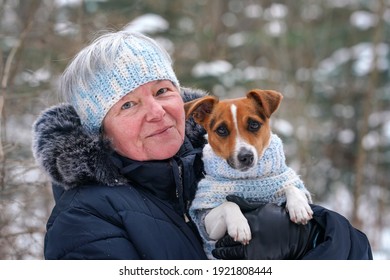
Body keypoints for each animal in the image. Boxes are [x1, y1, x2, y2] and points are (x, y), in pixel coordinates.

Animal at [187, 89, 314, 256]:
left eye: (254, 124)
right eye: (221, 130)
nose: (245, 156)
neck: (249, 178)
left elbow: (290, 186)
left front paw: (299, 207)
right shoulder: (207, 222)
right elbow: (228, 204)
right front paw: (239, 226)